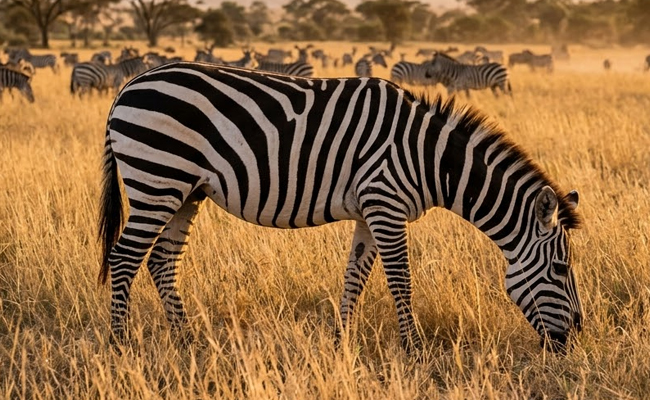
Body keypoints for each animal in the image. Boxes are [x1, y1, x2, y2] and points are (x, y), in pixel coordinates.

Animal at [99, 63, 583, 354]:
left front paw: (341, 340)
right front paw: (414, 348)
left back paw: (186, 340)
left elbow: (355, 276)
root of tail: (130, 84)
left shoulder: (371, 210)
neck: (430, 158)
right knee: (124, 257)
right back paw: (120, 345)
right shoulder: (386, 202)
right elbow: (400, 280)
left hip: (185, 190)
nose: (578, 337)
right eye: (561, 269)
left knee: (161, 260)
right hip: (157, 179)